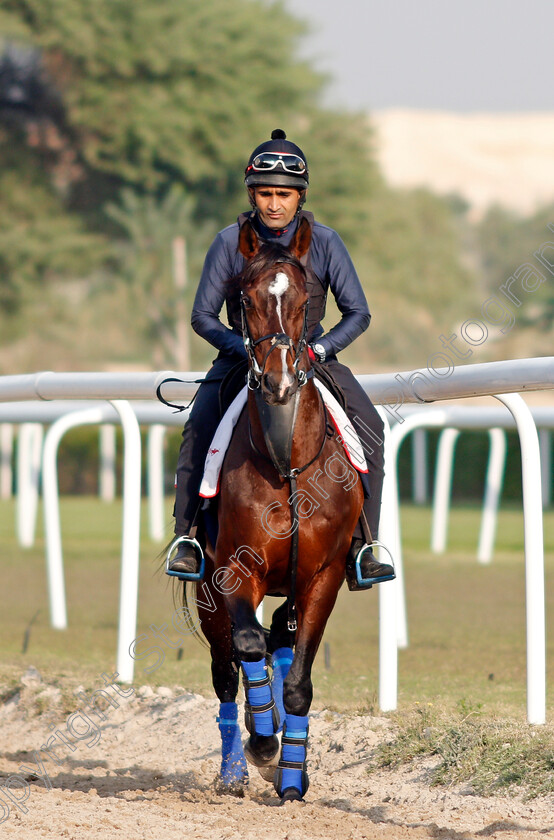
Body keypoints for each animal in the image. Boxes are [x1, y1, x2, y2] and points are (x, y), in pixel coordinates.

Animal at [182, 215, 362, 800]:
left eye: (306, 298)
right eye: (246, 297)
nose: (280, 381)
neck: (286, 464)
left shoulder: (324, 576)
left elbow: (299, 681)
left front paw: (292, 775)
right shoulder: (237, 570)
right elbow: (246, 646)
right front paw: (262, 746)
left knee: (279, 643)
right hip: (208, 593)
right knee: (229, 669)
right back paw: (236, 768)